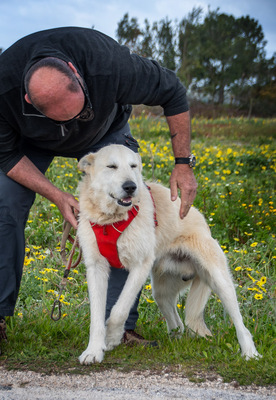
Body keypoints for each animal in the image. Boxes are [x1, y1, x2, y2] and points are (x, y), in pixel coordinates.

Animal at [76, 145, 260, 366]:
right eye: (111, 166)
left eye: (133, 166)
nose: (130, 187)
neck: (111, 220)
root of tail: (204, 225)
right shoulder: (96, 268)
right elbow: (97, 316)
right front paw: (94, 350)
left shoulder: (140, 265)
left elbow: (119, 310)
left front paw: (112, 337)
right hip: (161, 293)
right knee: (177, 323)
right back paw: (176, 340)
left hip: (220, 281)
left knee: (241, 323)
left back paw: (250, 353)